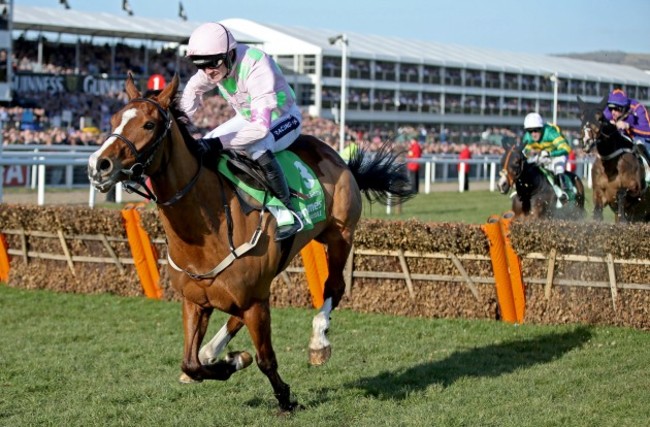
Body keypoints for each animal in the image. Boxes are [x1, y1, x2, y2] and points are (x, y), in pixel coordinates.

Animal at [86, 75, 410, 412]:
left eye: (149, 125)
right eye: (113, 120)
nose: (99, 165)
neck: (206, 230)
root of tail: (337, 156)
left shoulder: (254, 299)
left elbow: (266, 359)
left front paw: (284, 399)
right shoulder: (196, 301)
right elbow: (190, 363)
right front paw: (231, 360)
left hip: (339, 234)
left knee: (334, 286)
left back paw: (319, 342)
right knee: (230, 324)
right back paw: (214, 350)